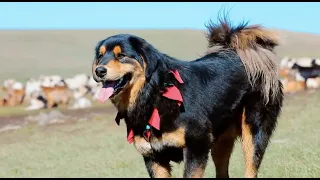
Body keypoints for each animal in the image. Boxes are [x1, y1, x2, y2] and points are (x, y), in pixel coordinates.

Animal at [91, 15, 284, 179]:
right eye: (100, 56)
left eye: (121, 55)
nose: (99, 70)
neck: (154, 93)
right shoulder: (153, 156)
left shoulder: (196, 145)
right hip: (220, 140)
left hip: (253, 132)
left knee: (251, 167)